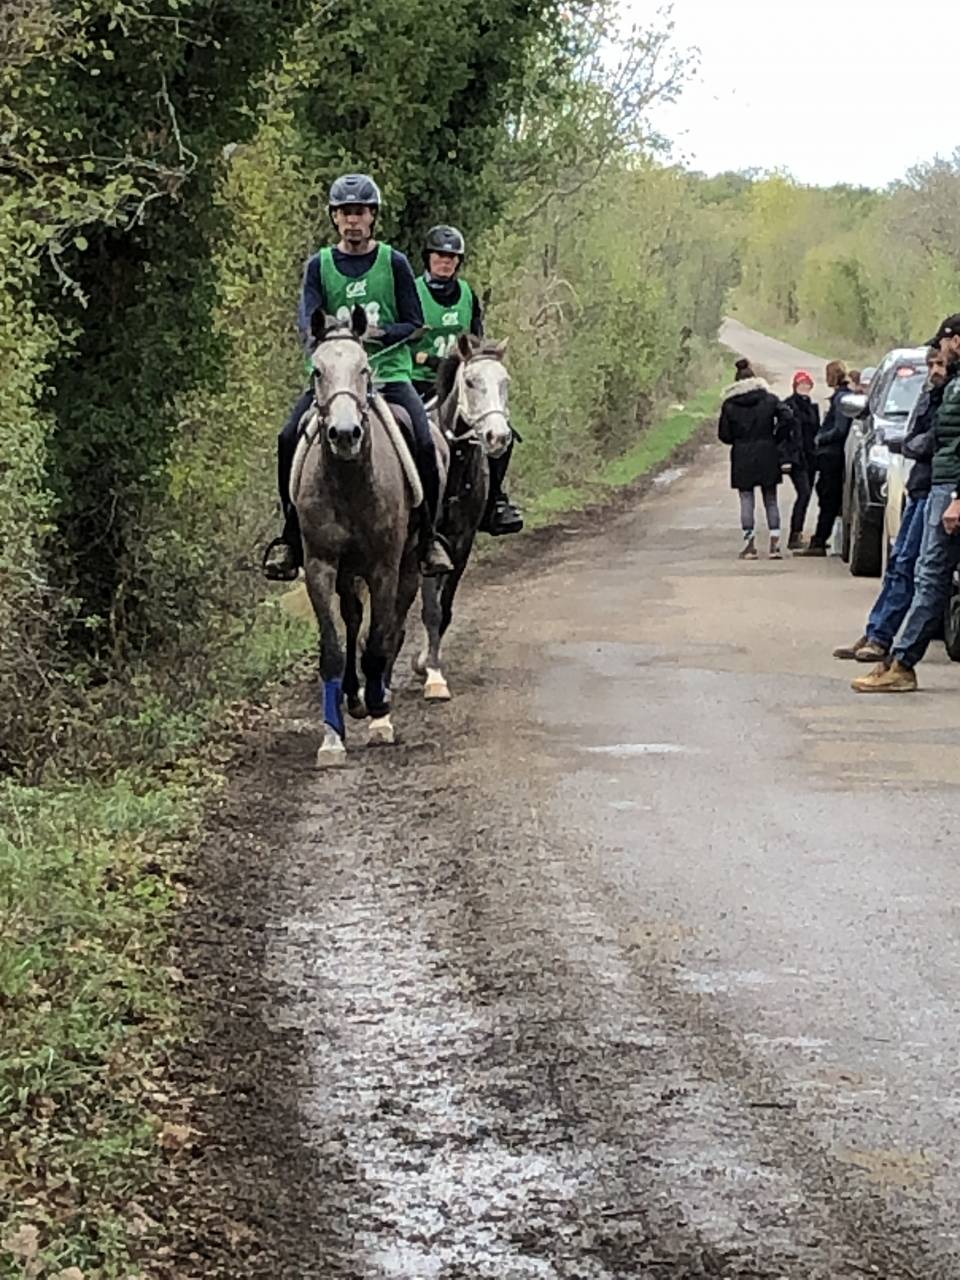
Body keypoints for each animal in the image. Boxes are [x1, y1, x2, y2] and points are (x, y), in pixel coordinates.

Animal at [294, 306, 423, 766]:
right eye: (317, 371)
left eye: (365, 368)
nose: (346, 434)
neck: (350, 481)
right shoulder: (321, 566)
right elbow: (332, 649)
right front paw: (332, 738)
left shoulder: (384, 567)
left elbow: (379, 641)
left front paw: (380, 717)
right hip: (347, 572)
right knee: (352, 619)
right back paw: (353, 697)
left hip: (407, 563)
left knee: (389, 625)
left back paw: (375, 695)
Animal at [413, 333, 512, 701]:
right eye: (470, 381)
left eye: (505, 382)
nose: (498, 437)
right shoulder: (427, 545)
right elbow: (430, 608)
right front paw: (433, 677)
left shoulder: (461, 542)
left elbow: (445, 606)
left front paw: (427, 662)